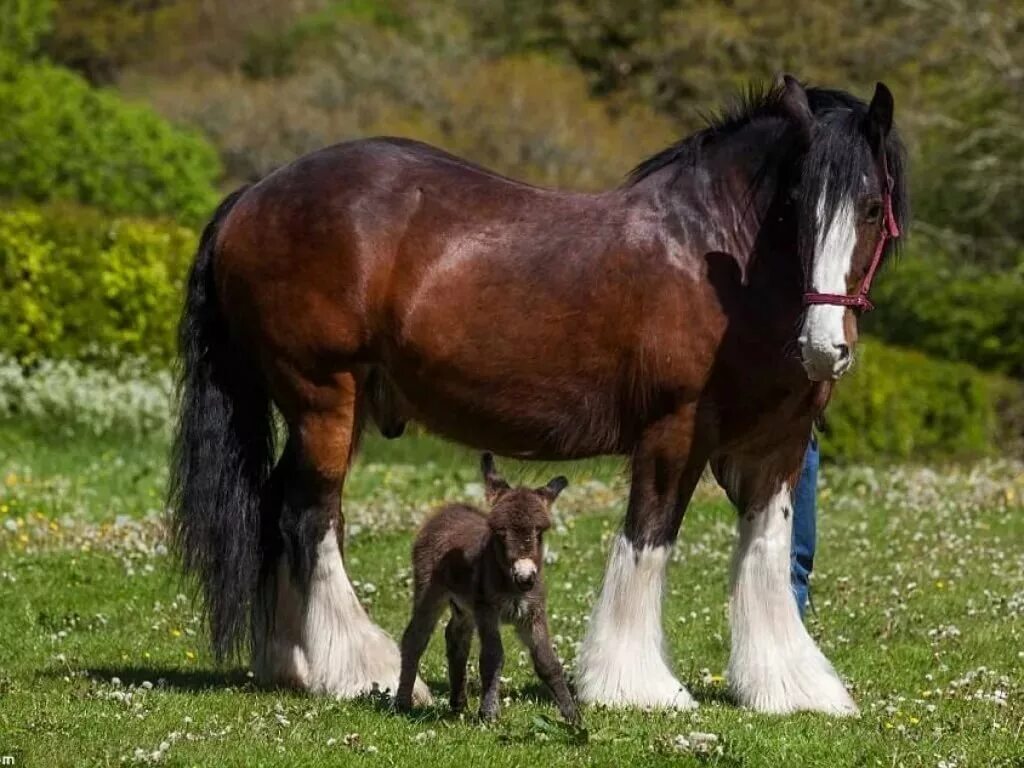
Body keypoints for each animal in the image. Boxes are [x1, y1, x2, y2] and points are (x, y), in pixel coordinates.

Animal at [395, 454, 577, 724]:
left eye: (540, 531)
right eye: (499, 532)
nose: (525, 577)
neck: (512, 586)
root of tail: (449, 509)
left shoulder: (533, 614)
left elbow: (548, 662)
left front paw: (573, 716)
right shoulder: (488, 612)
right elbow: (492, 658)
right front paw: (489, 714)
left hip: (465, 606)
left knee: (456, 636)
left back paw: (458, 703)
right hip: (430, 592)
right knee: (415, 638)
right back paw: (402, 703)